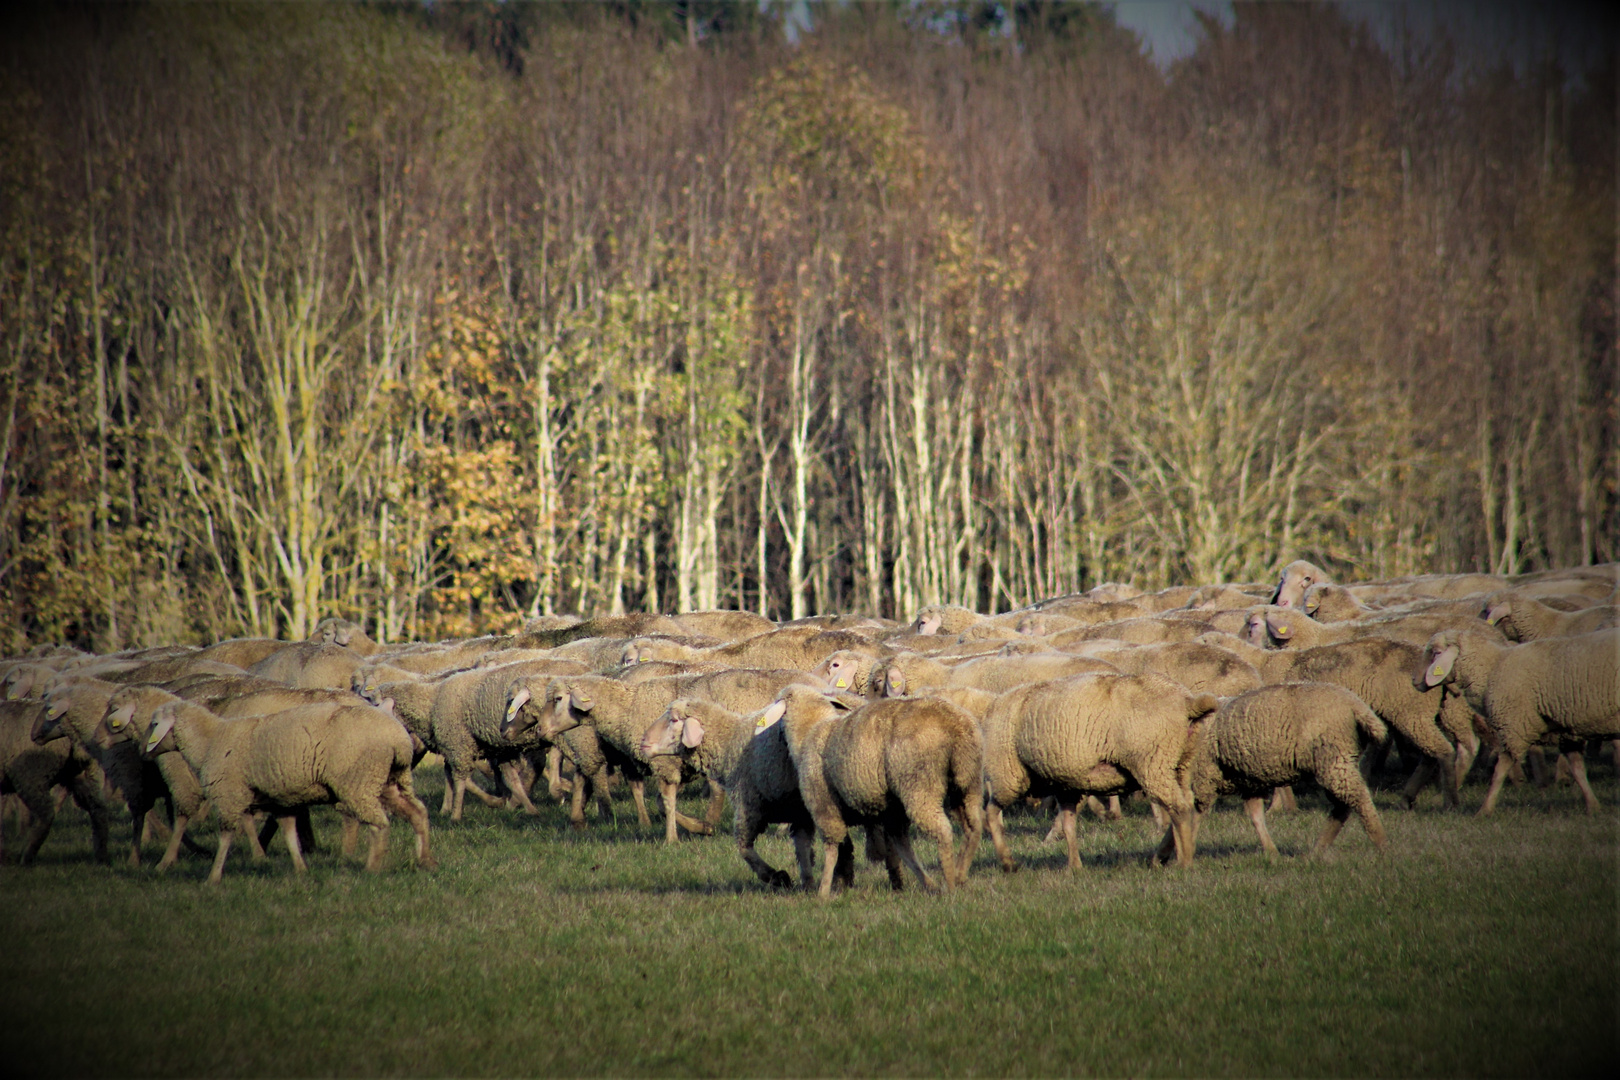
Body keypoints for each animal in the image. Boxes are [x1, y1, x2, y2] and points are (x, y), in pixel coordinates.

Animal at [139, 696, 434, 880]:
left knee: (379, 825)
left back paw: (373, 867)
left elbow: (225, 837)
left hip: (358, 782)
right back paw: (423, 859)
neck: (210, 740)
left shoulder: (229, 794)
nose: (142, 752)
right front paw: (301, 869)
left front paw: (213, 877)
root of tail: (399, 739)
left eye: (154, 724)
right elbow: (290, 833)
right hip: (390, 781)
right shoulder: (280, 800)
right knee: (417, 812)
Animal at [771, 689, 984, 900]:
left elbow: (832, 847)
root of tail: (955, 725)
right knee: (973, 826)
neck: (810, 730)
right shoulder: (893, 810)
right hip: (967, 783)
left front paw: (823, 890)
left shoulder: (823, 804)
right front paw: (927, 883)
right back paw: (960, 874)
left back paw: (950, 885)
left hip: (920, 785)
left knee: (943, 831)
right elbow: (902, 847)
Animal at [972, 676, 1218, 880]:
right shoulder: (1066, 785)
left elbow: (992, 814)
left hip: (1153, 762)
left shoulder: (1008, 775)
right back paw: (1163, 856)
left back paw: (1184, 862)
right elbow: (1069, 824)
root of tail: (1188, 702)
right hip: (1181, 764)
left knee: (1178, 808)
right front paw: (1074, 866)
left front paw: (1008, 863)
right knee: (1187, 803)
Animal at [1153, 683, 1393, 861]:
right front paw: (1272, 853)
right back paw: (1316, 851)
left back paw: (1381, 844)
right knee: (1342, 805)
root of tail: (1359, 707)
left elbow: (1188, 817)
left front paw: (1177, 852)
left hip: (1333, 757)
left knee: (1358, 799)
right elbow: (1256, 817)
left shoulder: (1203, 779)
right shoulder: (1248, 782)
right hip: (1337, 760)